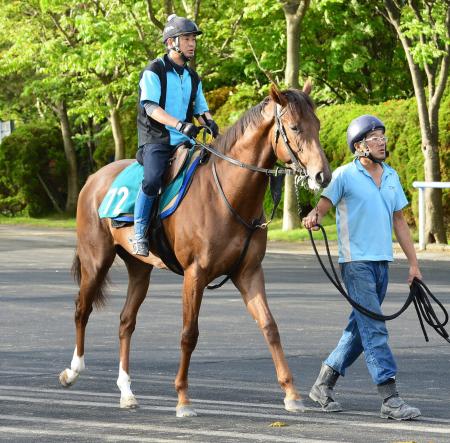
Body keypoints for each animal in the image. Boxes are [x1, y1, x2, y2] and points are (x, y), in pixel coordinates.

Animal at [59, 84, 330, 420]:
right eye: (294, 127)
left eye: (317, 124)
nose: (322, 175)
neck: (226, 194)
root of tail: (94, 179)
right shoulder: (195, 274)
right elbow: (189, 334)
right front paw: (183, 399)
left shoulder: (248, 273)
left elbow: (270, 327)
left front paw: (291, 393)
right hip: (96, 261)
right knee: (81, 310)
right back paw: (73, 371)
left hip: (140, 269)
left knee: (126, 322)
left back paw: (126, 391)